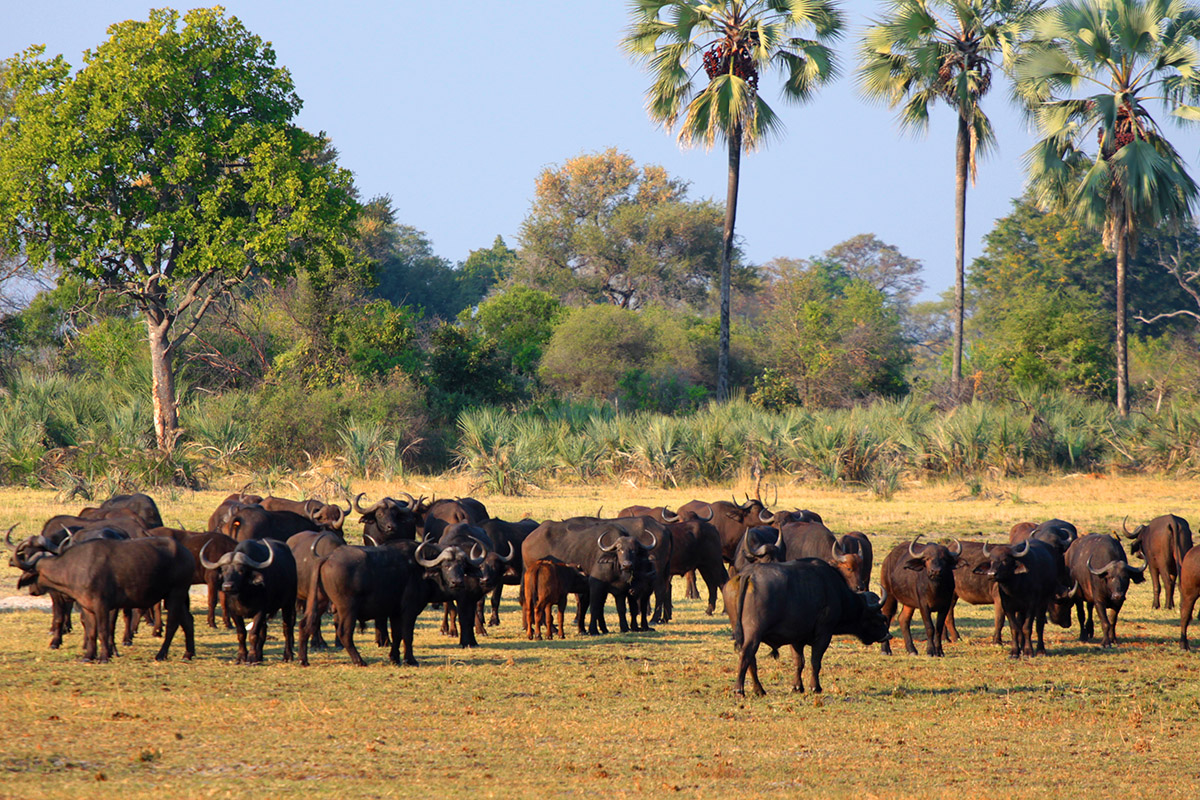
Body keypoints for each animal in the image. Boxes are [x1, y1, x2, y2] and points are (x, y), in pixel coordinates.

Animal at [720, 561, 892, 695]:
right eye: (879, 618)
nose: (887, 635)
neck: (837, 593)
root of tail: (747, 575)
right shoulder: (824, 633)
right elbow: (815, 661)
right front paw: (815, 687)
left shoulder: (795, 639)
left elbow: (799, 662)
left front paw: (797, 687)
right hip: (754, 633)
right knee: (746, 656)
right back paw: (739, 690)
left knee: (751, 660)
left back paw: (759, 690)